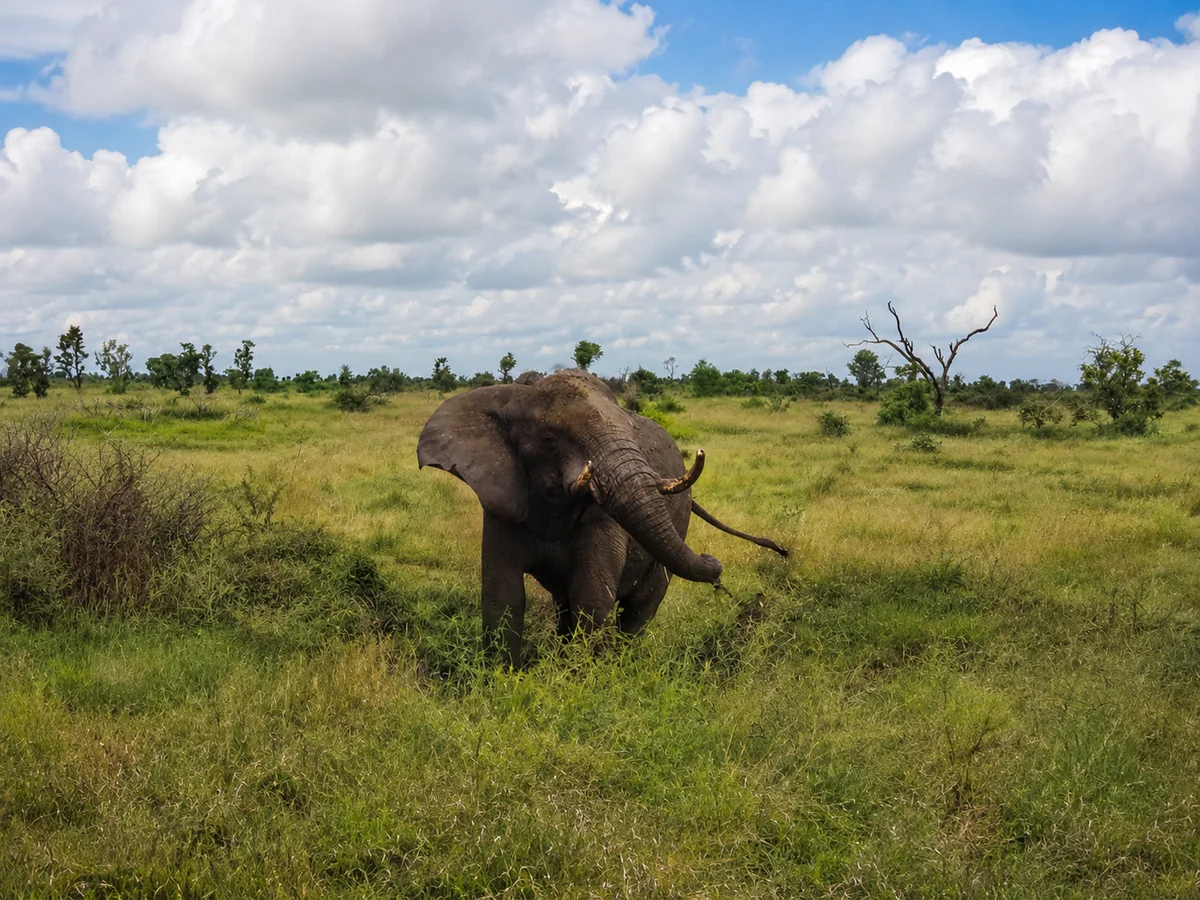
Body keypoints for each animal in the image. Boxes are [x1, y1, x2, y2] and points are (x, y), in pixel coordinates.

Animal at [417, 368, 787, 665]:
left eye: (631, 429)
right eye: (549, 439)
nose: (713, 560)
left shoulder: (603, 520)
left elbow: (591, 597)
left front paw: (585, 680)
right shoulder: (502, 499)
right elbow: (503, 595)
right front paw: (503, 677)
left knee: (640, 607)